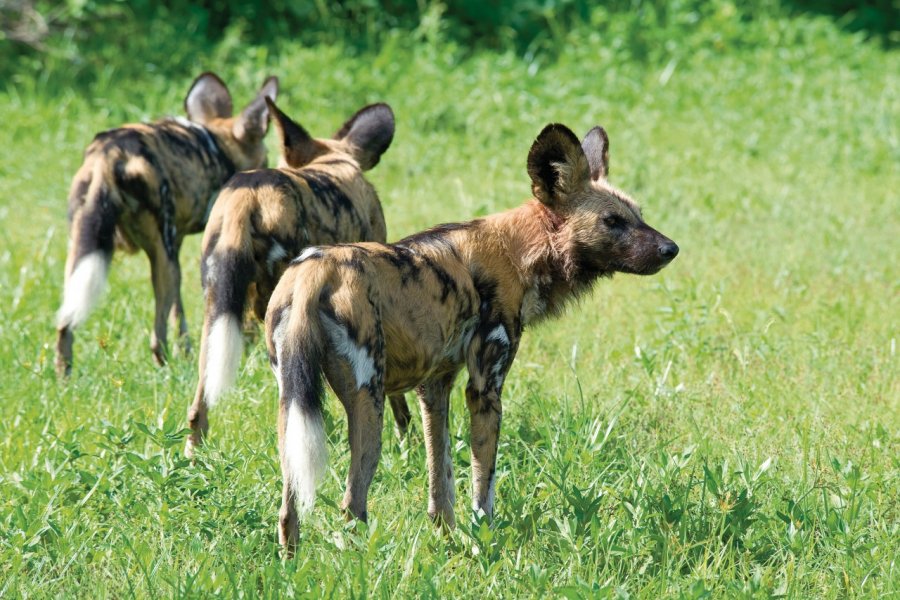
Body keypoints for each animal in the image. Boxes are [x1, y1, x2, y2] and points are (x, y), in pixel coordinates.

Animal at [54, 71, 278, 376]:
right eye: (265, 158)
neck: (221, 147)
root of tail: (112, 154)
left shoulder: (176, 248)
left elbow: (179, 312)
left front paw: (188, 351)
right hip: (161, 256)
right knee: (156, 337)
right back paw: (165, 368)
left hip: (84, 249)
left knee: (65, 320)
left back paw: (64, 375)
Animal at [264, 119, 680, 552]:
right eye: (612, 221)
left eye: (638, 215)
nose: (671, 248)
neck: (521, 251)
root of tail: (313, 271)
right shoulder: (483, 387)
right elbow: (484, 485)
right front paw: (485, 543)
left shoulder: (435, 387)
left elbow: (441, 479)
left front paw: (446, 541)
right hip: (368, 400)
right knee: (351, 503)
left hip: (292, 406)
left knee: (289, 507)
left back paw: (292, 561)